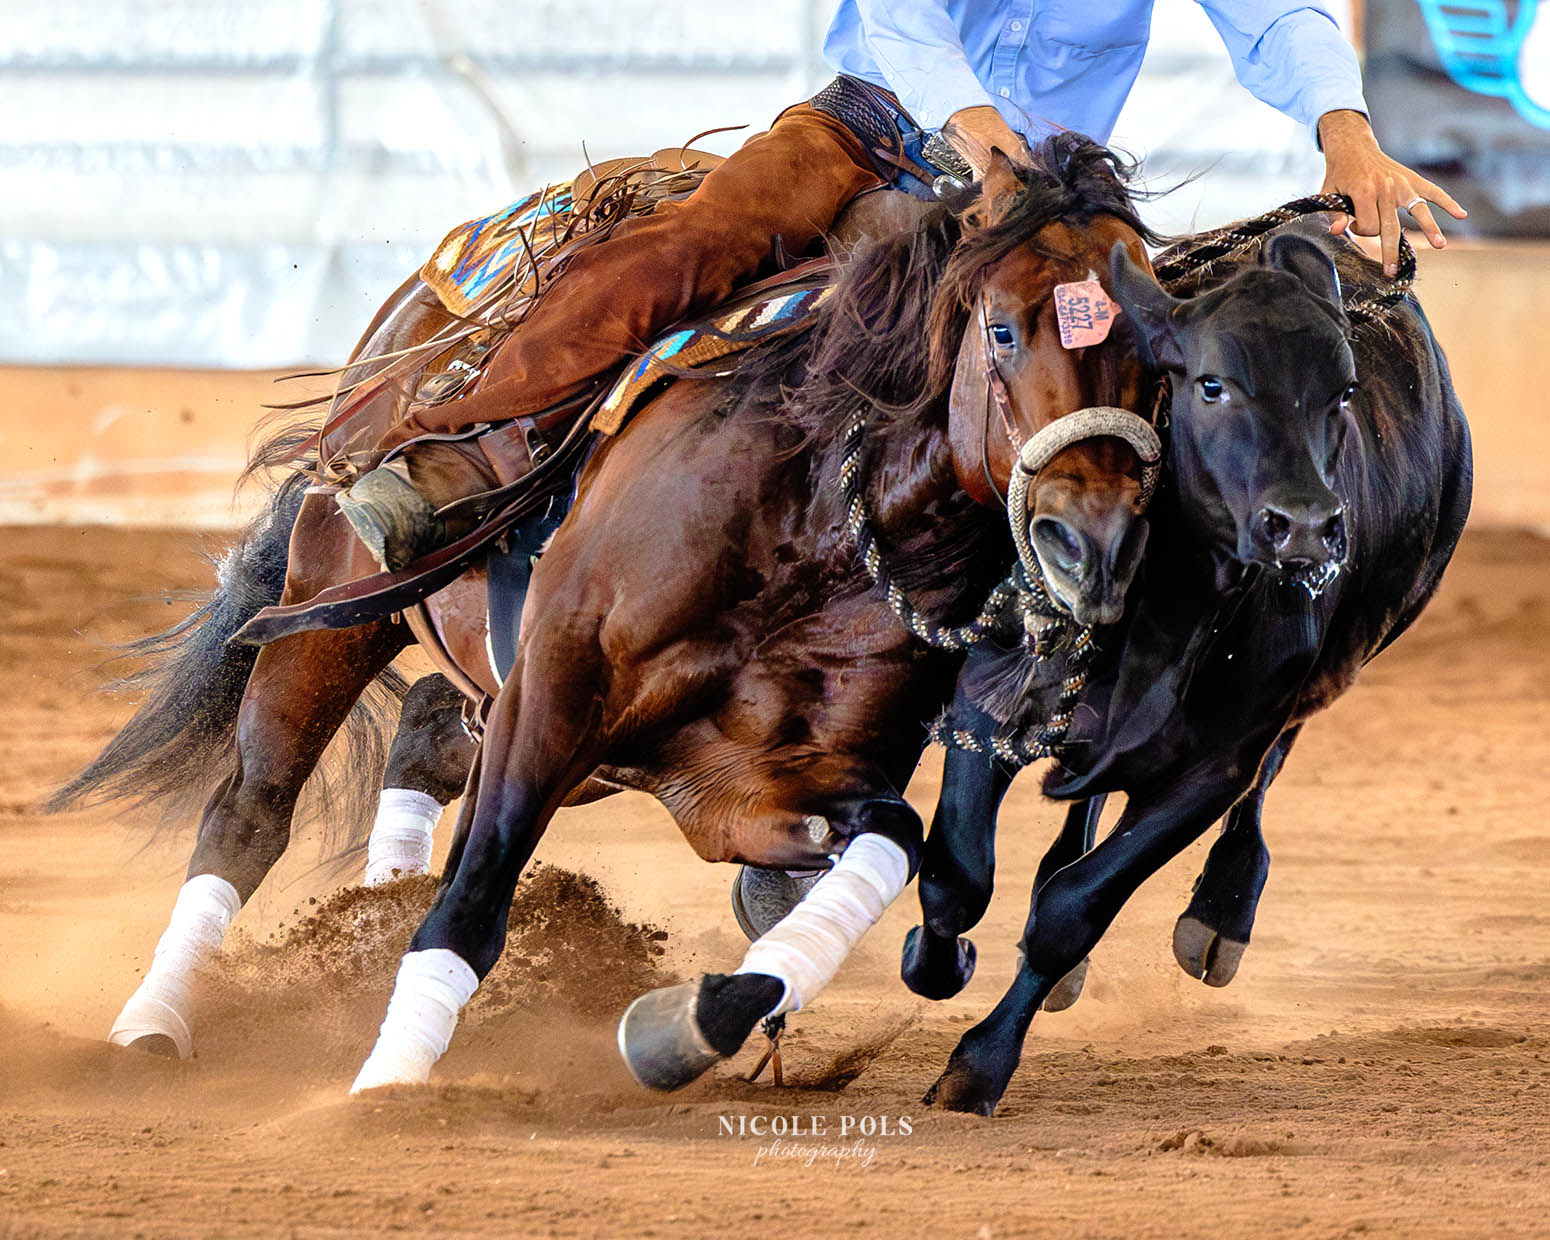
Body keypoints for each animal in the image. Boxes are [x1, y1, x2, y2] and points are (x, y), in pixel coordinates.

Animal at [52, 136, 1163, 1073]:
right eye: (1004, 329)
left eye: (1156, 353)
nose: (1093, 543)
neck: (809, 528)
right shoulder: (555, 690)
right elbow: (473, 903)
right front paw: (384, 1085)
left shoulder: (738, 782)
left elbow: (887, 842)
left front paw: (693, 1025)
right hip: (334, 608)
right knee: (248, 812)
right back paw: (154, 1023)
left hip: (517, 711)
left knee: (424, 729)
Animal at [907, 223, 1472, 1116]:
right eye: (1212, 384)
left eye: (1342, 391)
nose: (1304, 526)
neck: (1166, 604)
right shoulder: (986, 699)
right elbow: (957, 874)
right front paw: (936, 962)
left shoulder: (1214, 766)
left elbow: (1074, 910)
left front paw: (979, 1065)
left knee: (1264, 780)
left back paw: (1222, 913)